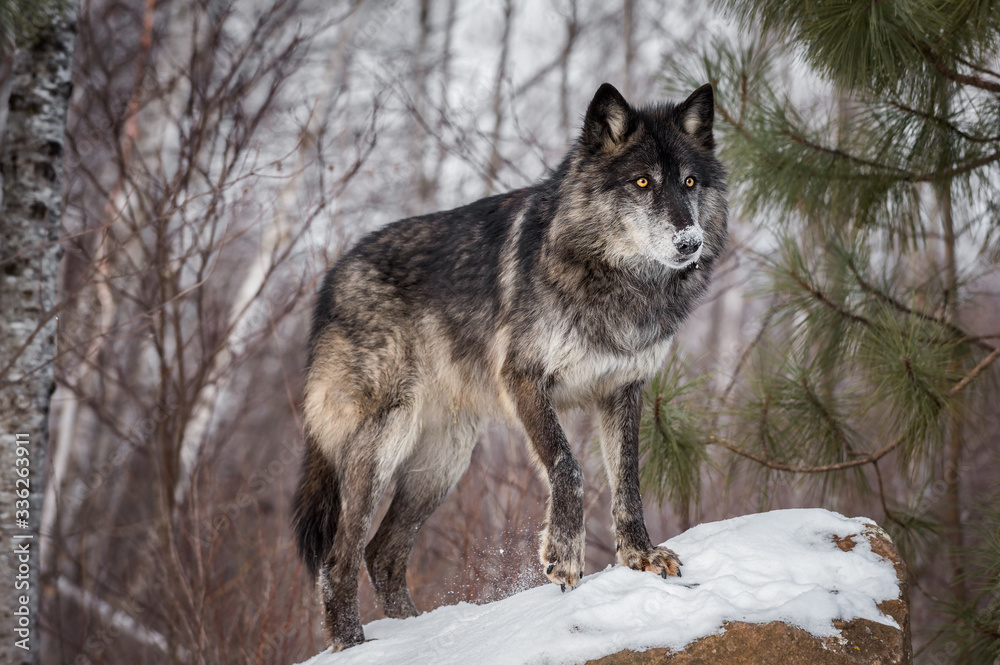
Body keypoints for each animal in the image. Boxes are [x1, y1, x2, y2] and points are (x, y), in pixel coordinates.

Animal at [290, 81, 728, 648]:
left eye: (689, 182)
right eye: (642, 182)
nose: (689, 241)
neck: (619, 284)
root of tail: (332, 280)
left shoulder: (623, 389)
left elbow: (628, 480)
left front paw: (639, 555)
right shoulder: (524, 380)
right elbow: (568, 465)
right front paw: (564, 555)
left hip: (444, 461)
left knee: (382, 554)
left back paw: (412, 633)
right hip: (385, 442)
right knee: (338, 560)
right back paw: (355, 645)